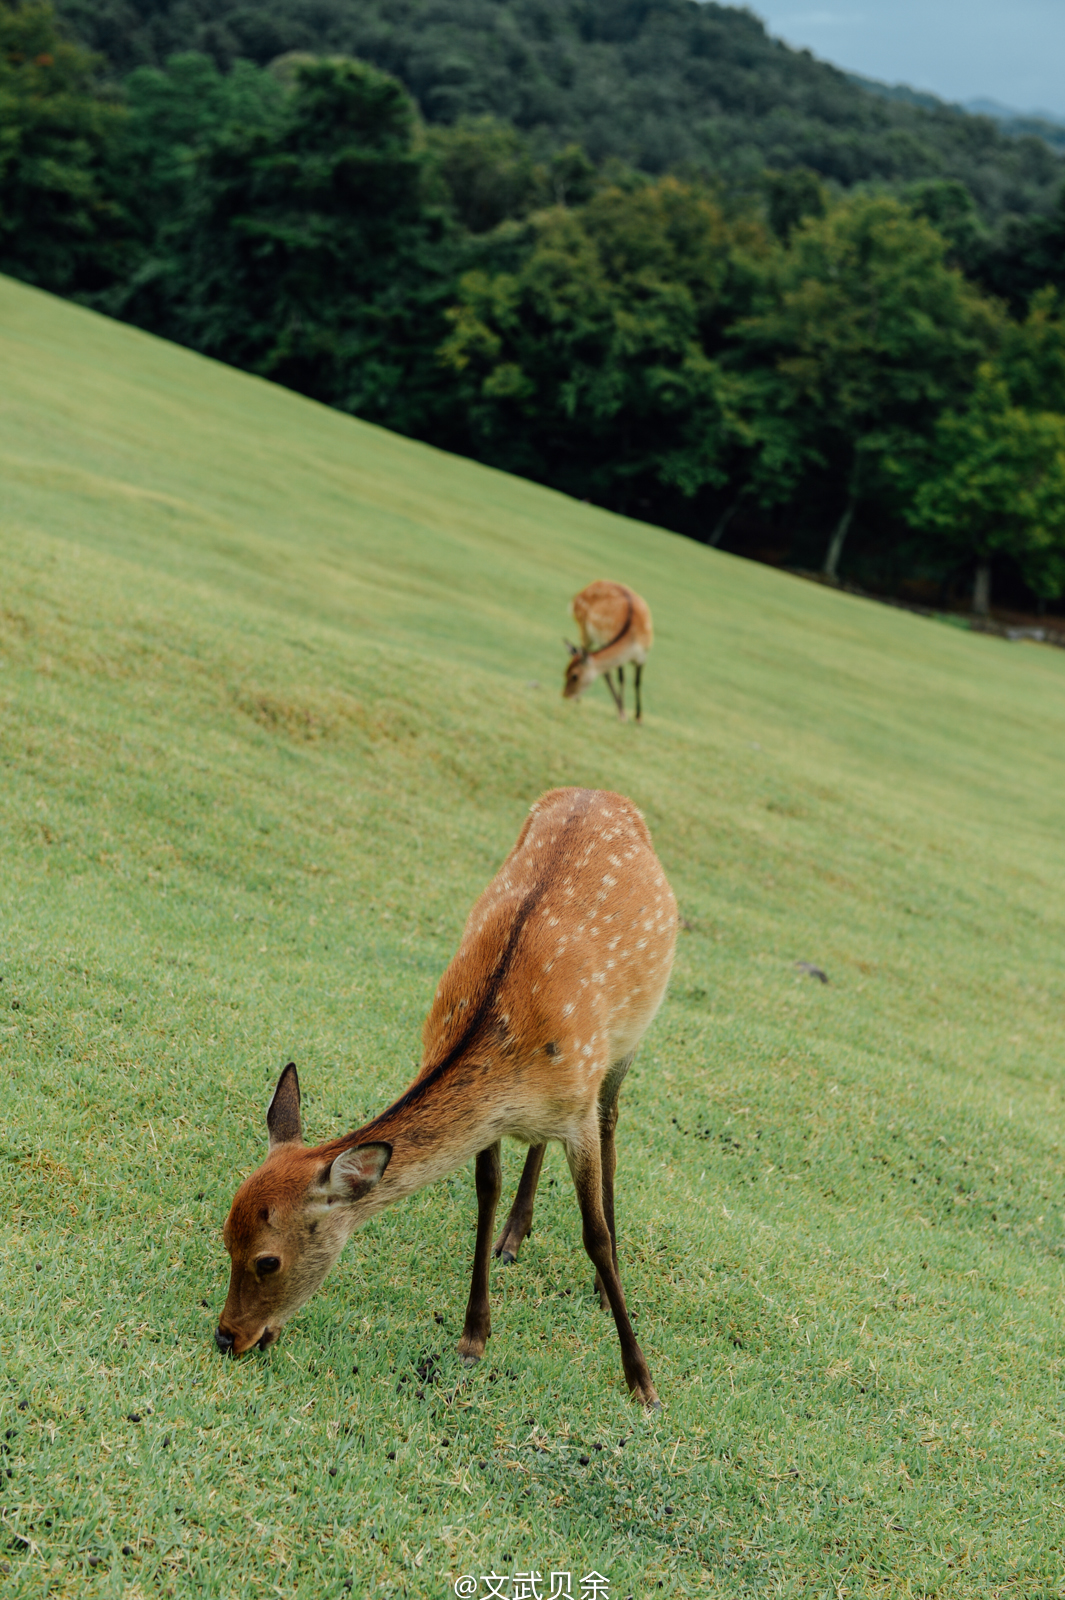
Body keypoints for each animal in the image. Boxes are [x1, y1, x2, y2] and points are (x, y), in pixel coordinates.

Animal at [217, 784, 671, 1401]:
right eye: (224, 1237)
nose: (227, 1336)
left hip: (628, 1042)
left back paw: (604, 1282)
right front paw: (474, 1336)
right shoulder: (496, 1119)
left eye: (267, 1261)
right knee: (538, 1146)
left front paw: (641, 1379)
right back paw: (514, 1237)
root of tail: (603, 792)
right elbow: (486, 1192)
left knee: (612, 1123)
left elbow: (593, 1234)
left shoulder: (578, 1102)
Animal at [559, 582, 652, 720]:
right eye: (564, 673)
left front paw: (638, 716)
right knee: (602, 669)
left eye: (574, 676)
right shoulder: (610, 642)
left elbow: (637, 682)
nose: (565, 695)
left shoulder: (643, 655)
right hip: (584, 631)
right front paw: (622, 713)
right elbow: (622, 678)